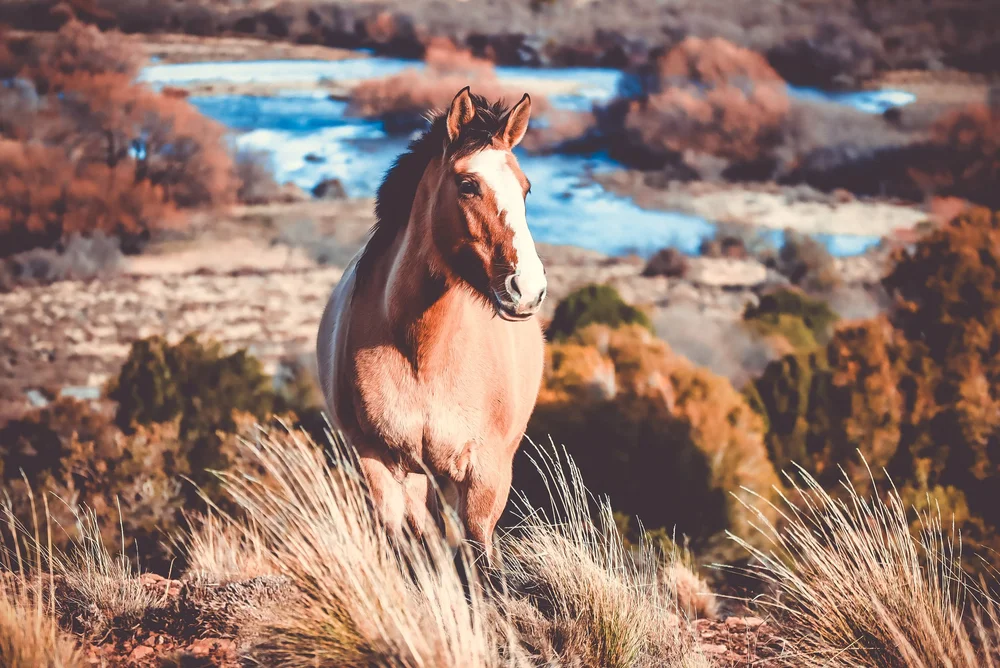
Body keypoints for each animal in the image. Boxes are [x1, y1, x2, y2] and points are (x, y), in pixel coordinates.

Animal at [317, 87, 547, 562]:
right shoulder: (378, 461)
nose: (528, 289)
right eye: (468, 184)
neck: (425, 351)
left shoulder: (485, 478)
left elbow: (479, 560)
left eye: (526, 189)